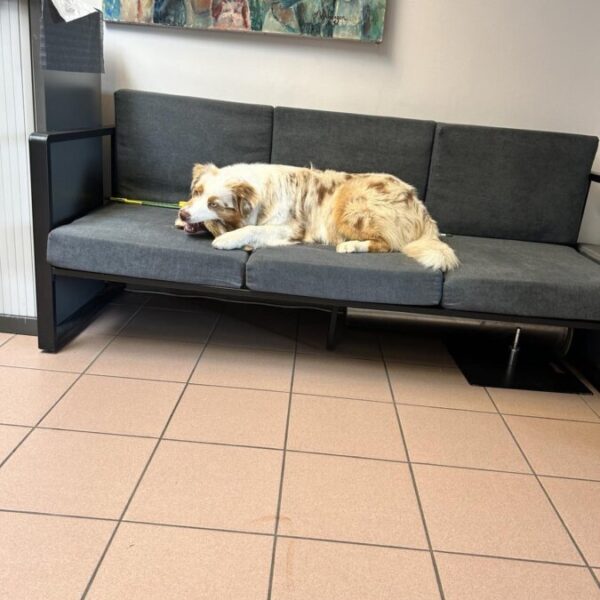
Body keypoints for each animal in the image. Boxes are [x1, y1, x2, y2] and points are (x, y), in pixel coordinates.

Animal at [175, 162, 460, 270]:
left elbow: (252, 229)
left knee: (389, 244)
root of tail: (420, 206)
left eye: (214, 203)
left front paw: (227, 239)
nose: (184, 213)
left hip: (348, 202)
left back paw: (351, 246)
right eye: (197, 192)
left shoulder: (290, 227)